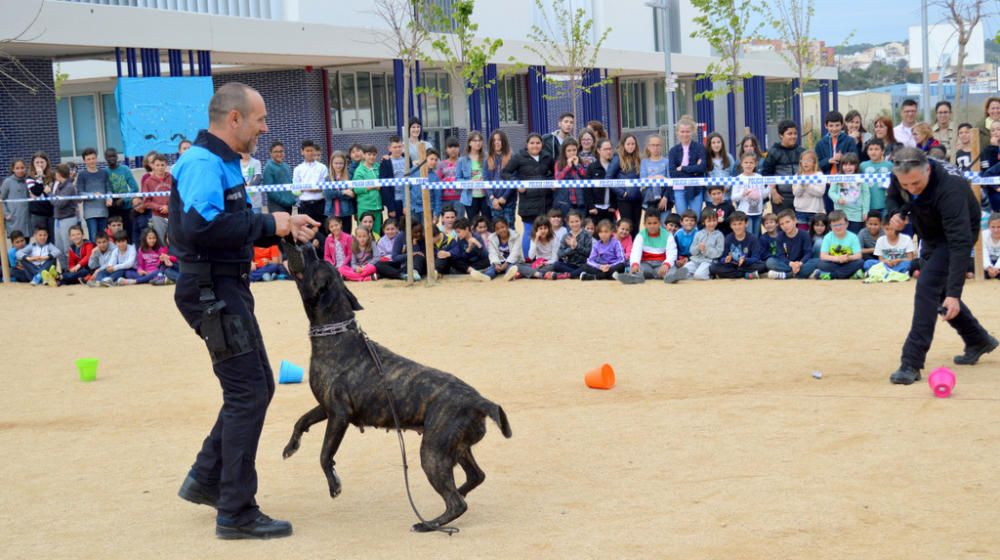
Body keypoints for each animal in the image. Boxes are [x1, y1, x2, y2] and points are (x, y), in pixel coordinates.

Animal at [282, 243, 516, 532]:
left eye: (315, 264)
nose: (306, 244)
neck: (335, 334)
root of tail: (479, 400)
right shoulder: (325, 407)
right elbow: (301, 421)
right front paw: (291, 446)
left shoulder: (339, 415)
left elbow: (325, 453)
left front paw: (334, 484)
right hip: (457, 447)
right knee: (475, 477)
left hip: (433, 452)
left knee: (456, 503)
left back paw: (429, 524)